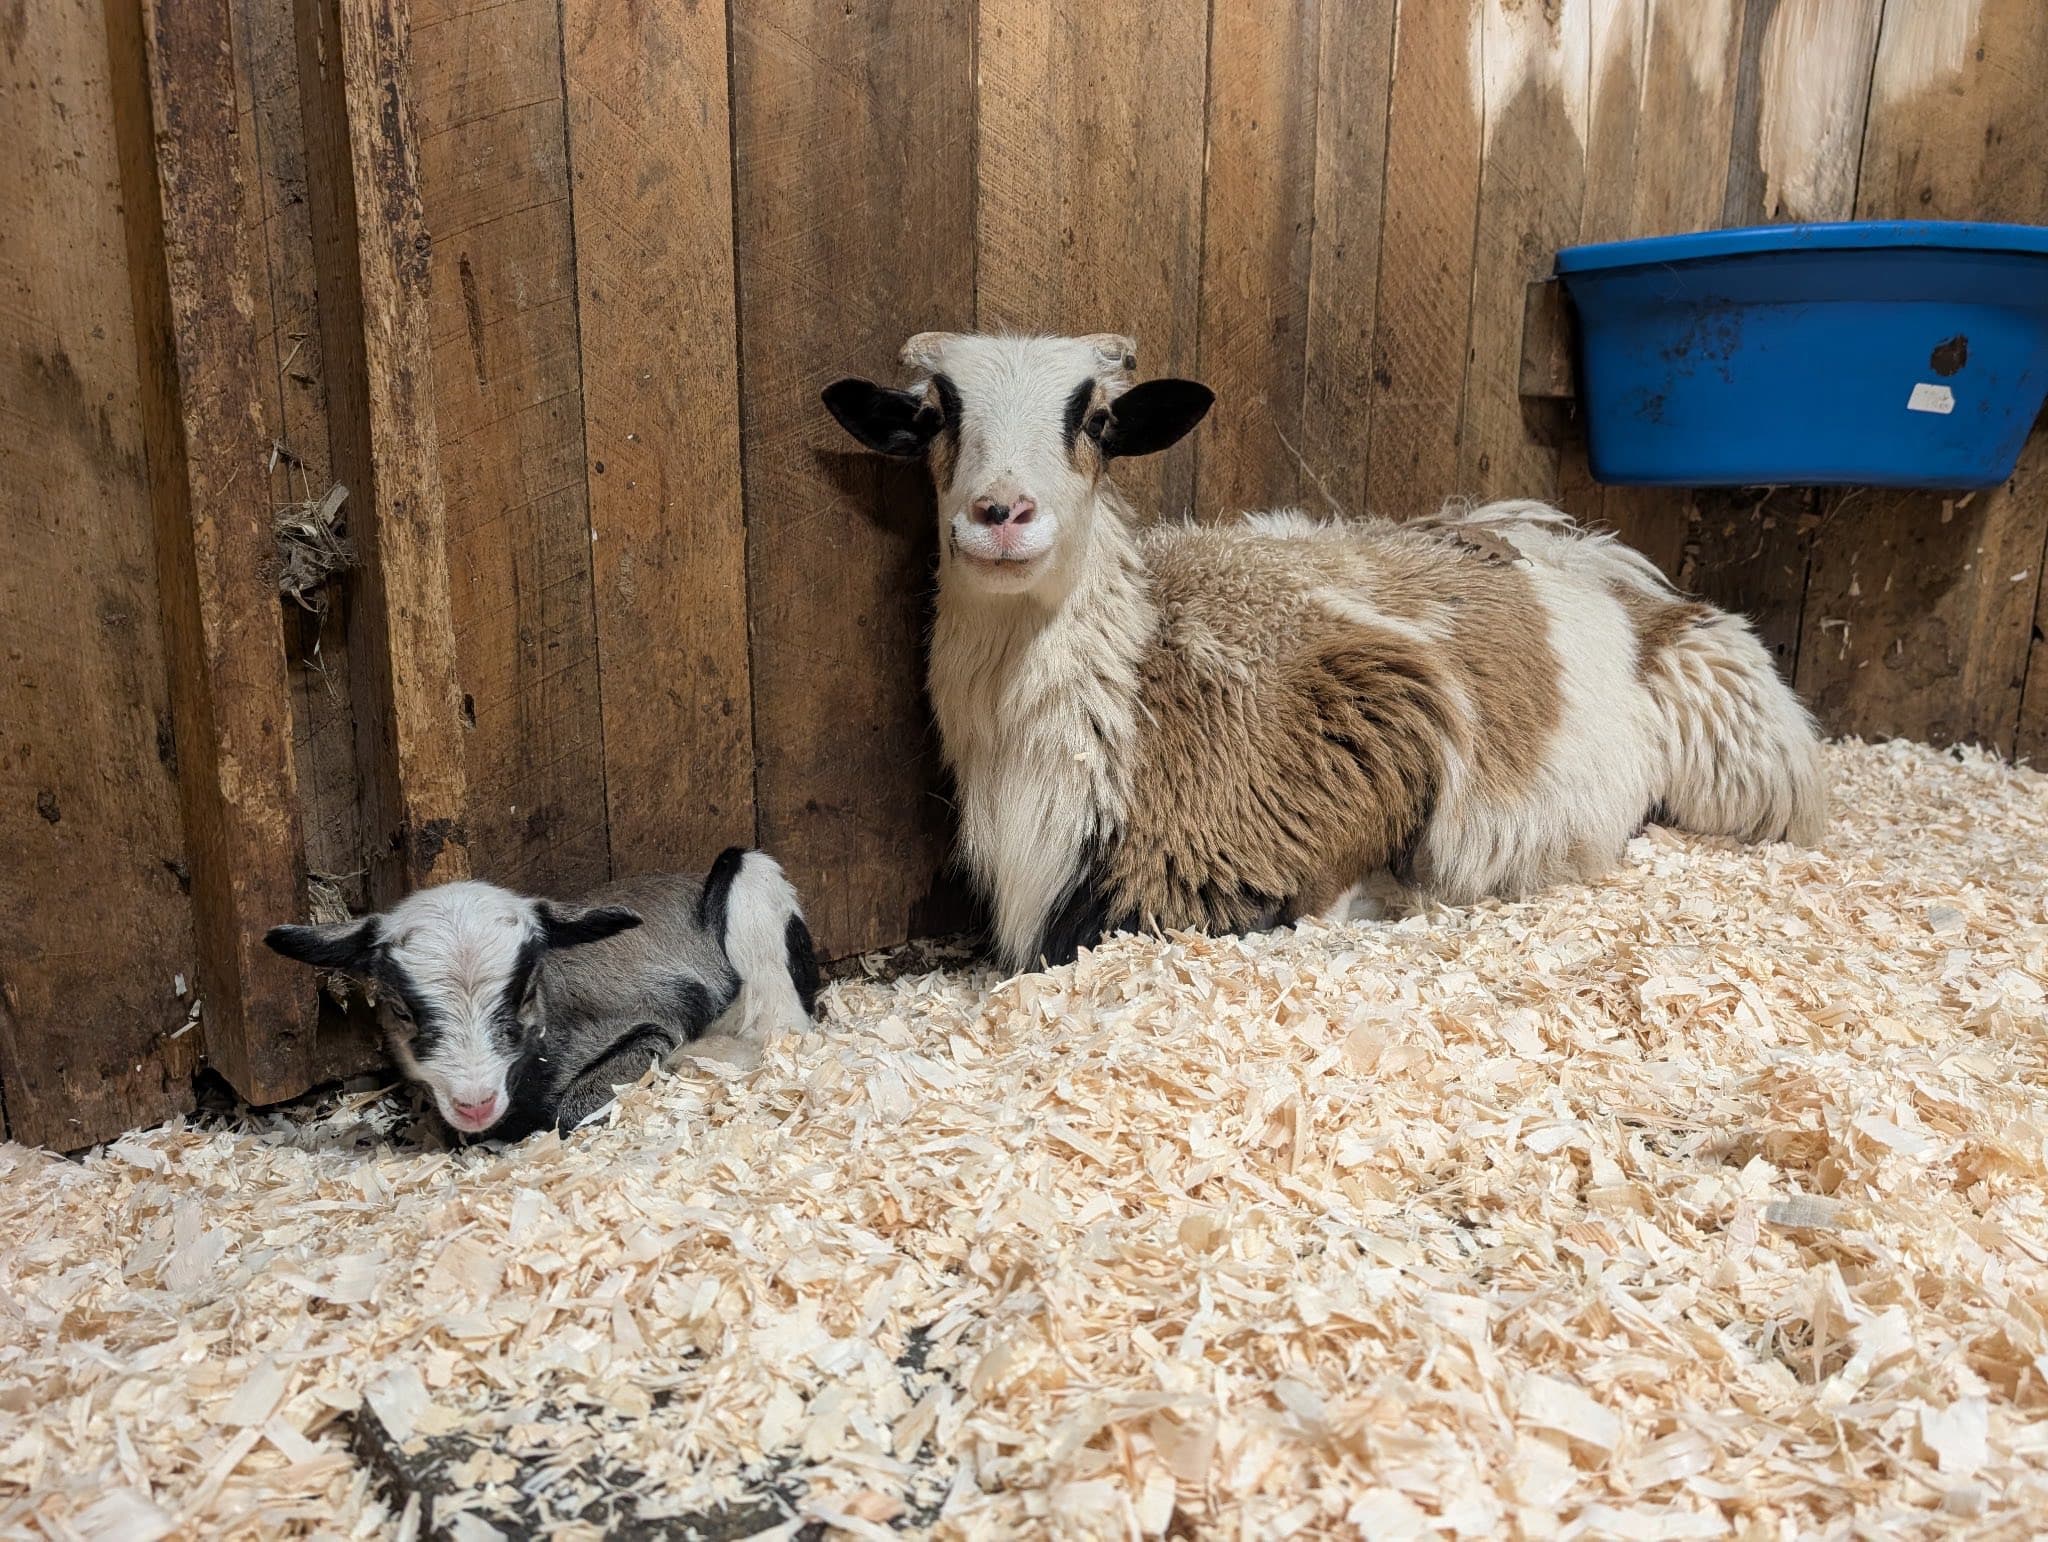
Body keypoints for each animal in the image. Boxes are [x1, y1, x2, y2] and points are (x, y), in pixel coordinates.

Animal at [264, 849, 819, 1139]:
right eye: (401, 1009)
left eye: (526, 991)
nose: (475, 1103)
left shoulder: (652, 1025)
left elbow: (572, 1110)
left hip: (747, 875)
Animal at [822, 330, 1827, 973]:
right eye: (935, 415)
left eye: (1098, 420)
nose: (1000, 515)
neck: (1138, 688)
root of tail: (1584, 549)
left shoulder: (1391, 702)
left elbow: (1332, 898)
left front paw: (1398, 897)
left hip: (1742, 763)